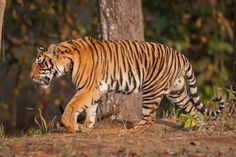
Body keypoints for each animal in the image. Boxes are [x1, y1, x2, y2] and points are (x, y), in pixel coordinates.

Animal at [30, 36, 226, 132]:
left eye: (39, 63)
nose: (31, 77)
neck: (68, 61)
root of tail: (181, 55)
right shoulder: (94, 90)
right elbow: (91, 109)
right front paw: (87, 127)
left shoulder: (86, 88)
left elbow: (72, 106)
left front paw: (71, 127)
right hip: (177, 92)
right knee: (193, 109)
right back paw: (199, 126)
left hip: (151, 90)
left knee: (150, 117)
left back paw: (135, 128)